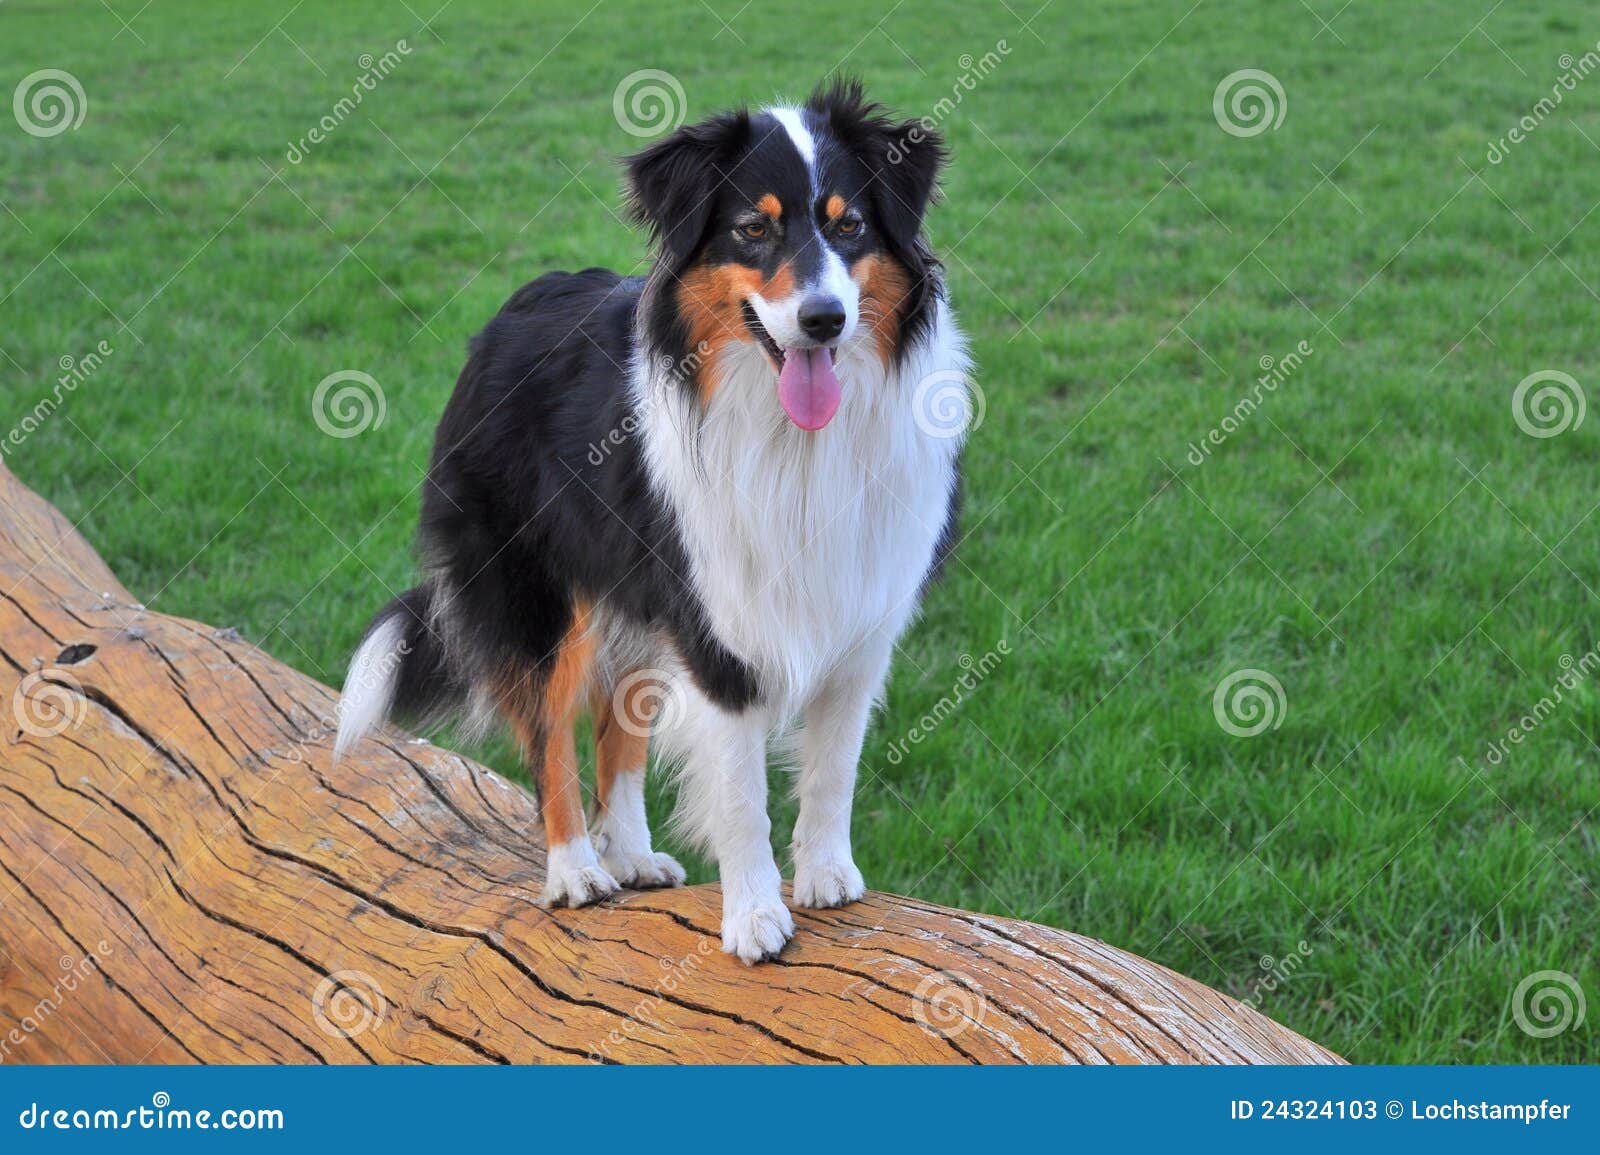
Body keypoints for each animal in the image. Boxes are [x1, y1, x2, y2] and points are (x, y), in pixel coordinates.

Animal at [331, 80, 966, 959]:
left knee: (616, 728)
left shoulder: (859, 617)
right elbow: (740, 791)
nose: (824, 320)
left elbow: (833, 767)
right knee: (551, 737)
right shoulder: (717, 627)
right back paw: (576, 870)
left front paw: (827, 875)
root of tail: (510, 309)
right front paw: (755, 917)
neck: (795, 437)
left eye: (850, 226)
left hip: (631, 597)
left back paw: (630, 854)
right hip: (539, 597)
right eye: (754, 228)